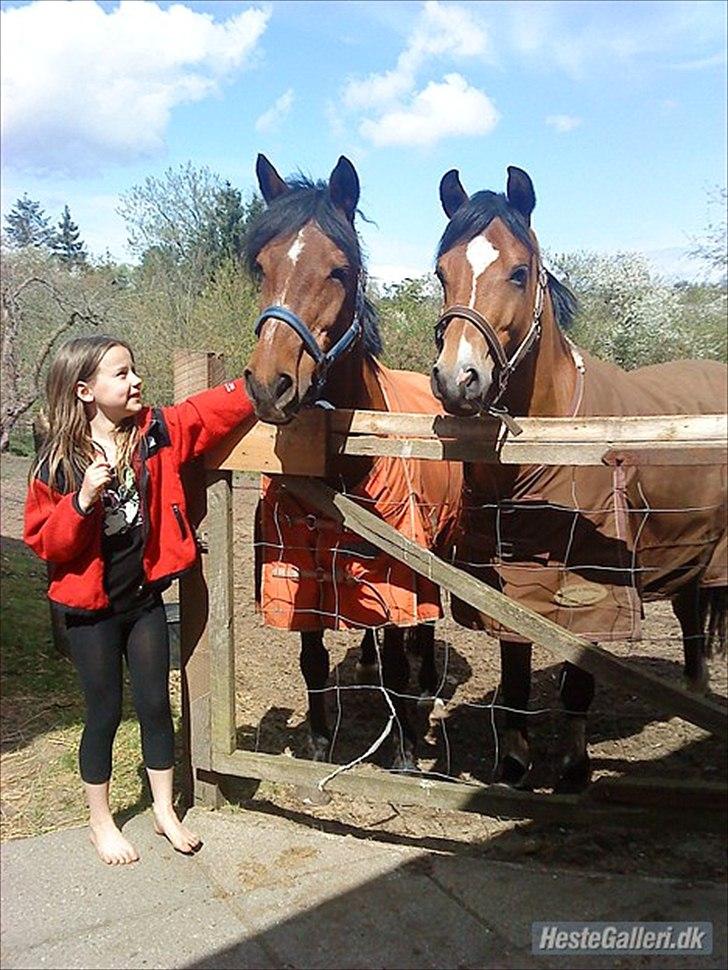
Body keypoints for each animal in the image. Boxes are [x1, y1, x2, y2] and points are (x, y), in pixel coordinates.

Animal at [243, 154, 462, 770]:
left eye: (339, 270)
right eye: (261, 266)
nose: (268, 384)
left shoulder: (398, 570)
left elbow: (399, 665)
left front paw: (406, 754)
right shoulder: (301, 570)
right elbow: (313, 662)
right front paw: (319, 743)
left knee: (419, 634)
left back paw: (428, 684)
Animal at [430, 164, 727, 791]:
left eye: (520, 273)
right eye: (442, 271)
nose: (456, 378)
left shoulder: (590, 591)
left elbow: (577, 681)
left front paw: (571, 768)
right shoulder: (508, 586)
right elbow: (516, 675)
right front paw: (514, 765)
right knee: (691, 614)